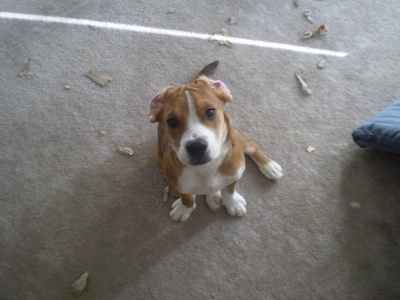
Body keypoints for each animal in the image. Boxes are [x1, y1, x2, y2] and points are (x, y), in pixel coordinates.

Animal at [148, 69, 282, 220]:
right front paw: (184, 208)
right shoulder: (180, 182)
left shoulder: (233, 175)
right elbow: (187, 196)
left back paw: (269, 167)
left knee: (250, 145)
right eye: (171, 121)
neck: (206, 168)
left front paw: (232, 203)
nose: (196, 147)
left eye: (210, 112)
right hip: (158, 156)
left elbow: (229, 191)